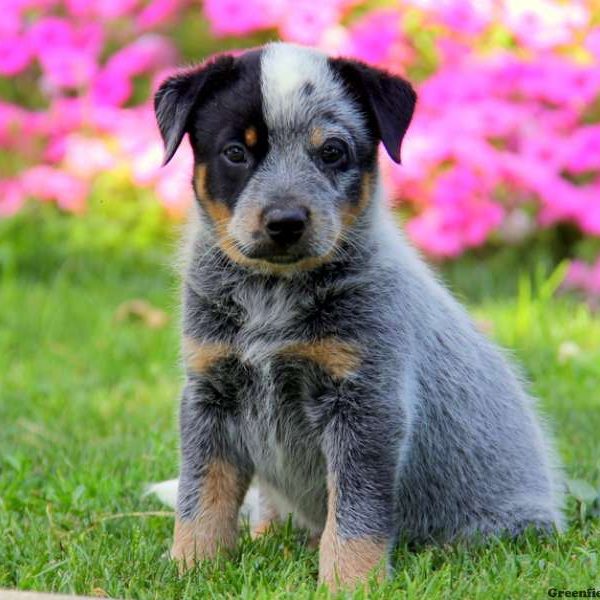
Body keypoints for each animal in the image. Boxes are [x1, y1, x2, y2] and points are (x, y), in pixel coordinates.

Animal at [152, 42, 564, 592]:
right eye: (236, 152)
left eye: (332, 151)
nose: (286, 221)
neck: (272, 295)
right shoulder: (209, 391)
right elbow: (201, 497)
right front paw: (192, 569)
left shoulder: (366, 404)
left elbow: (356, 514)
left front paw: (349, 584)